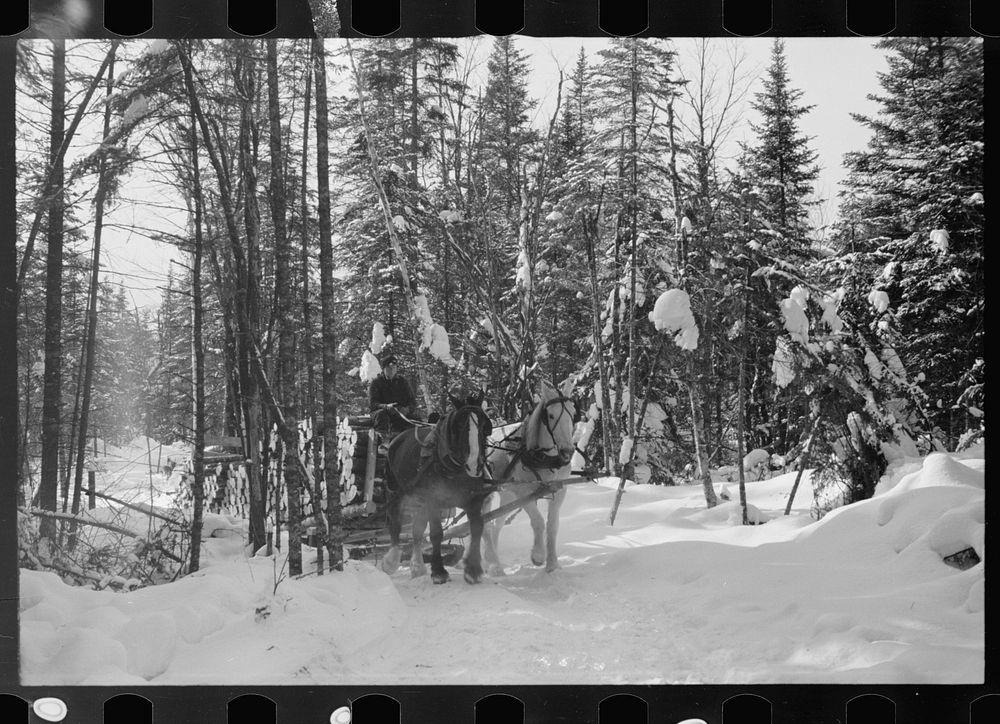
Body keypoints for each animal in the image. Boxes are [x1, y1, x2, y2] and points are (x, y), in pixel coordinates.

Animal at [380, 394, 494, 584]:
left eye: (485, 425)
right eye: (459, 424)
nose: (474, 465)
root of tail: (397, 438)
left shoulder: (474, 500)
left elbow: (477, 527)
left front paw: (473, 570)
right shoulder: (433, 501)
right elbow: (436, 534)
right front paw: (439, 572)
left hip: (419, 499)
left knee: (417, 530)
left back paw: (417, 566)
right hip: (396, 491)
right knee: (395, 521)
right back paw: (392, 560)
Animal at [484, 382, 580, 576]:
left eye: (573, 413)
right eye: (550, 415)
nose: (567, 451)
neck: (543, 457)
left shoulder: (559, 490)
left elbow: (552, 525)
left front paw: (552, 564)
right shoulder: (524, 492)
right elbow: (538, 522)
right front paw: (538, 556)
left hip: (507, 494)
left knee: (496, 524)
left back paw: (493, 564)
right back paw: (490, 562)